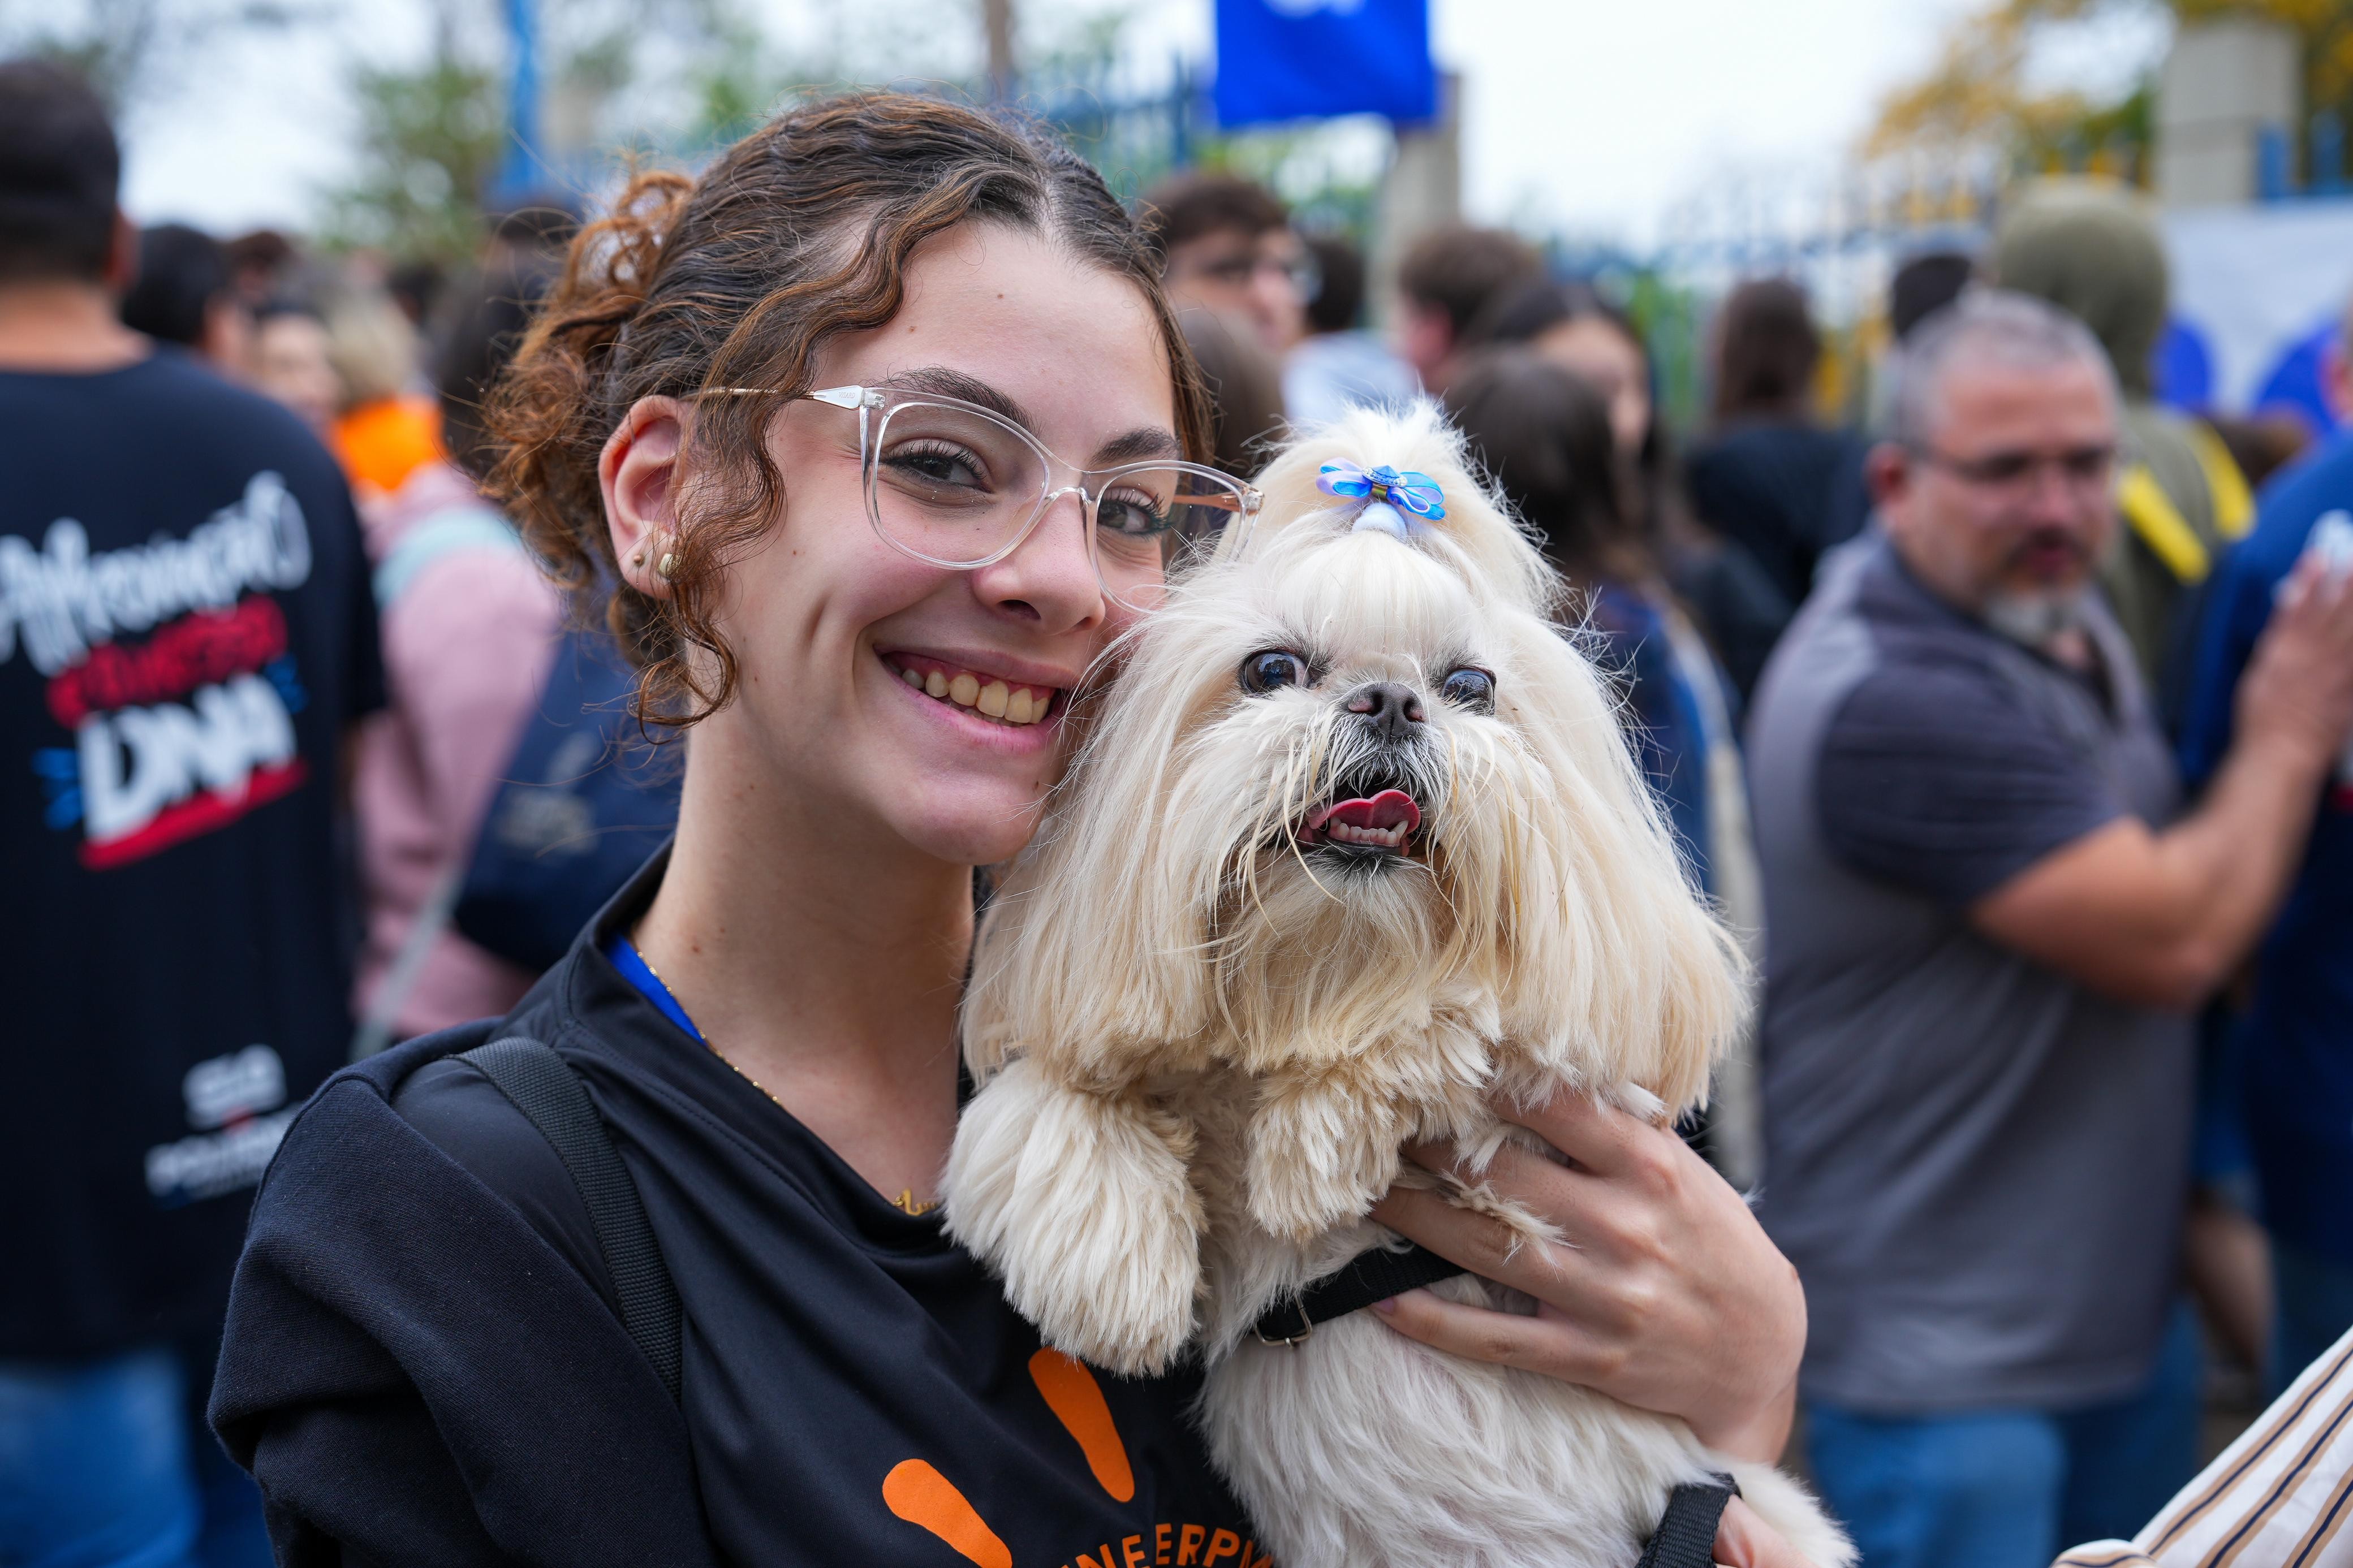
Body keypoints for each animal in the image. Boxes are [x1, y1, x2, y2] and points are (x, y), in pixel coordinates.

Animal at [946, 409, 1845, 1568]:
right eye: (1271, 667)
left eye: (1470, 687)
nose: (1391, 701)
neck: (1322, 977)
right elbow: (1054, 1082)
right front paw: (1107, 1255)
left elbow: (1473, 1015)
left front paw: (1315, 1141)